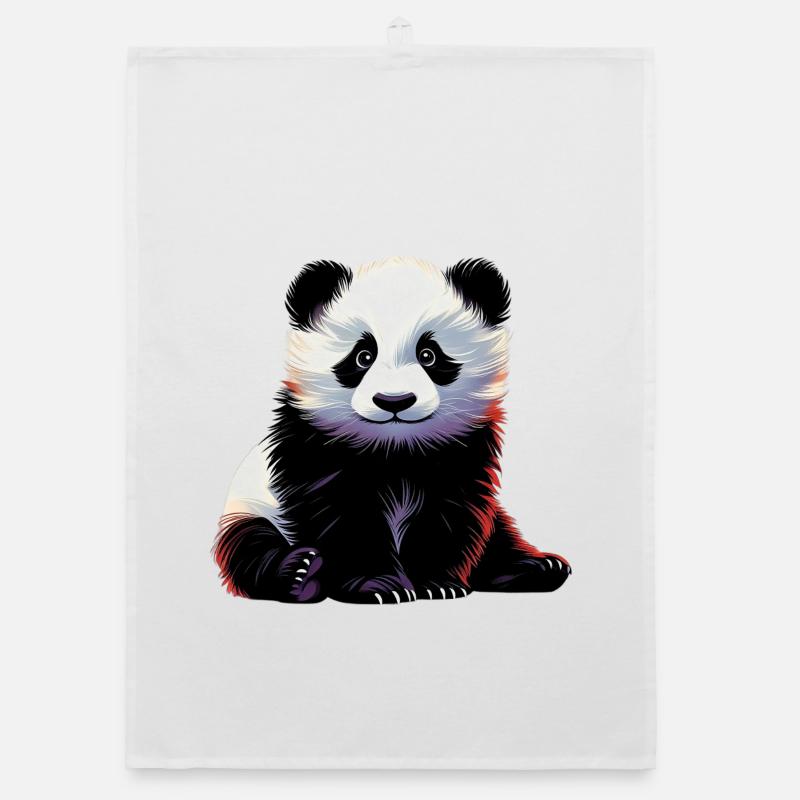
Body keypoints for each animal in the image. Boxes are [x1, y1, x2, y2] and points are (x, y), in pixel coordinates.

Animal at [214, 256, 571, 604]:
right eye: (362, 356)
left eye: (429, 355)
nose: (394, 400)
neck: (396, 448)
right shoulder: (313, 449)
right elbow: (343, 518)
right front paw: (380, 585)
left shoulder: (460, 453)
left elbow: (450, 516)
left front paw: (436, 584)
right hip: (250, 507)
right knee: (250, 546)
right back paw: (300, 574)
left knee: (499, 534)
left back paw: (537, 566)